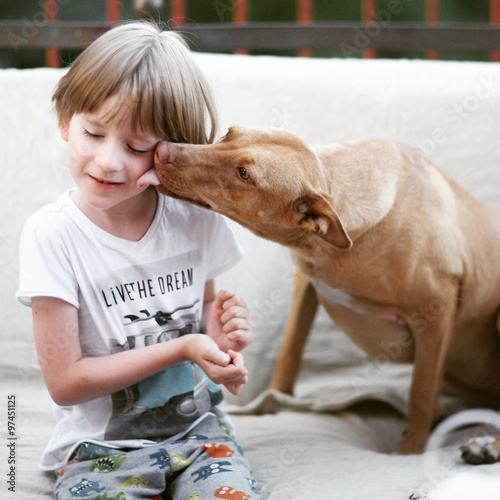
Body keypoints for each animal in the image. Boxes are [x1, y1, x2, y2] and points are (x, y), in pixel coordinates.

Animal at [140, 127, 500, 456]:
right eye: (229, 133)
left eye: (244, 174)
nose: (161, 150)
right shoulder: (306, 284)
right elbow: (289, 353)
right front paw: (271, 404)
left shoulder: (436, 309)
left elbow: (421, 392)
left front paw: (410, 450)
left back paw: (486, 445)